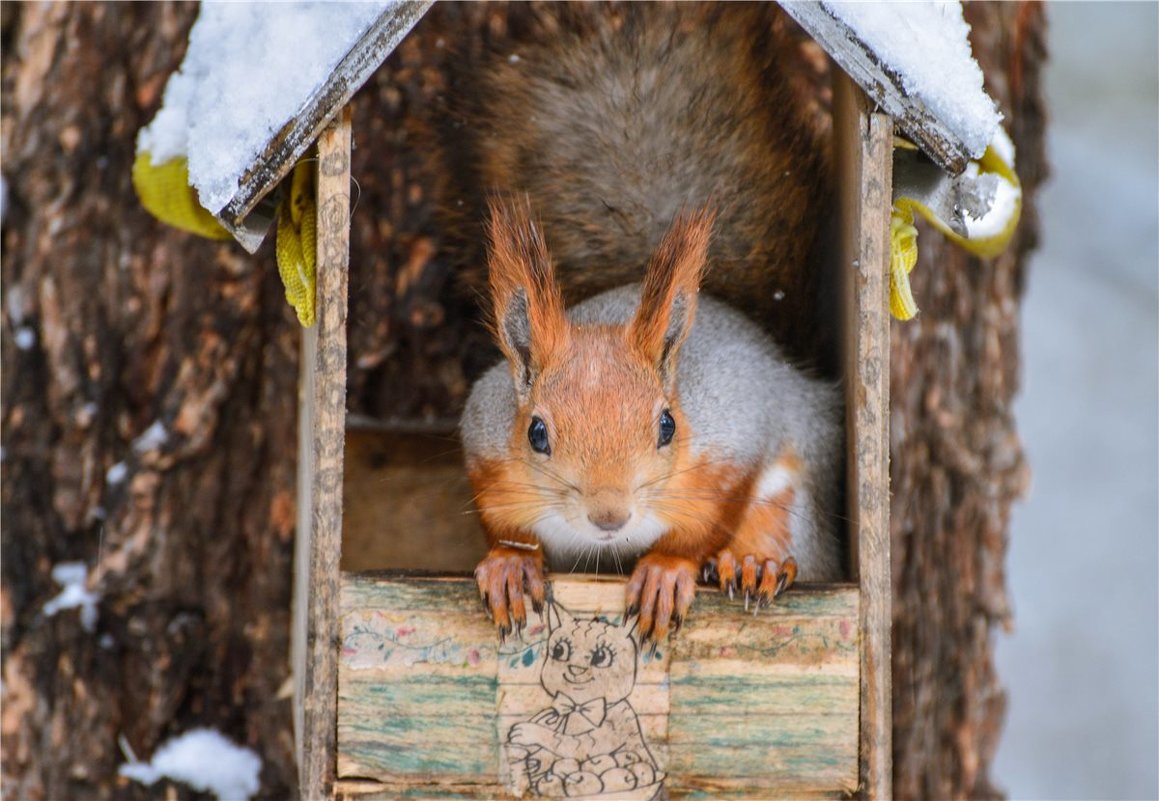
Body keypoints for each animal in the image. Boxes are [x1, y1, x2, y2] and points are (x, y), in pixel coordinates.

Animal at [454, 3, 843, 644]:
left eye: (667, 426)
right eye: (536, 433)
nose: (609, 515)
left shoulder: (733, 435)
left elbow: (703, 524)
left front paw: (666, 569)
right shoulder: (487, 451)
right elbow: (505, 528)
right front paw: (510, 563)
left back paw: (755, 561)